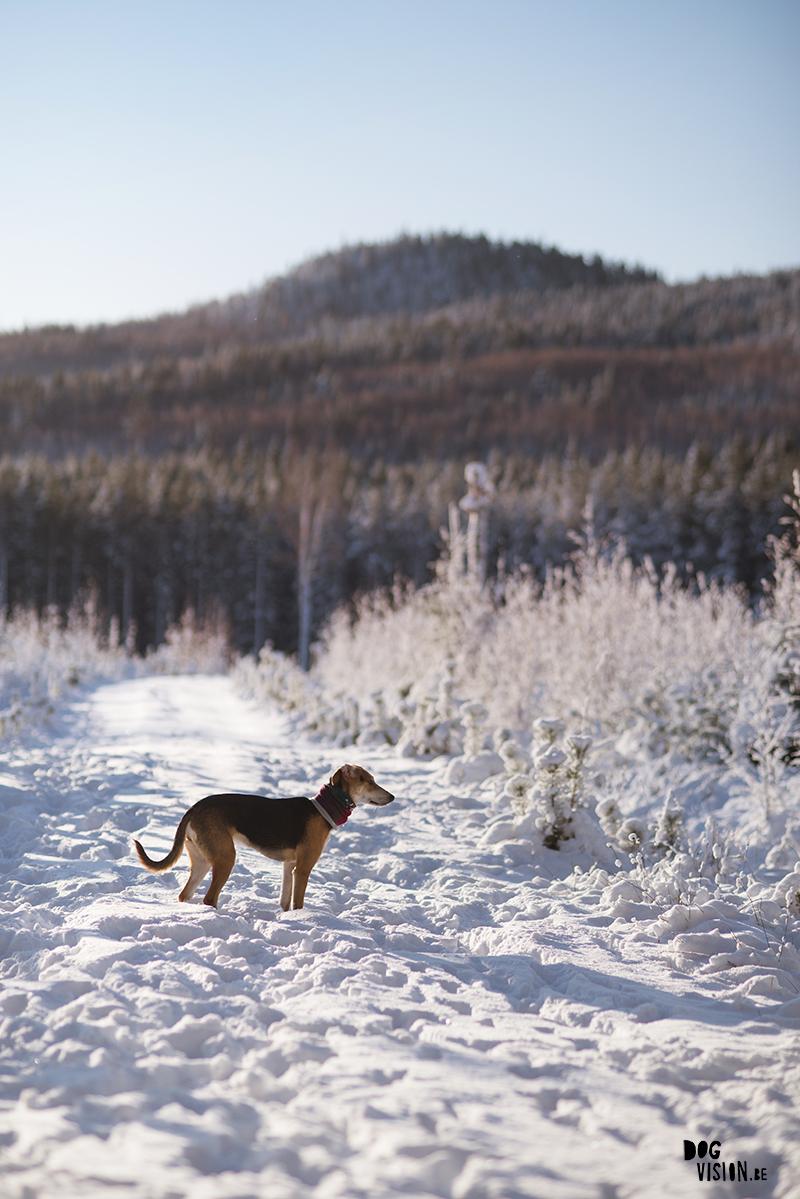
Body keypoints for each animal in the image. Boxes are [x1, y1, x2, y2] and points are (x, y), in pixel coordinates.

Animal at [133, 767, 393, 906]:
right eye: (370, 781)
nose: (392, 797)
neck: (325, 808)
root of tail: (194, 808)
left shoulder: (289, 867)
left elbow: (285, 901)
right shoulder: (303, 869)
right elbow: (298, 903)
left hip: (203, 860)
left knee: (184, 894)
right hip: (226, 858)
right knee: (209, 898)